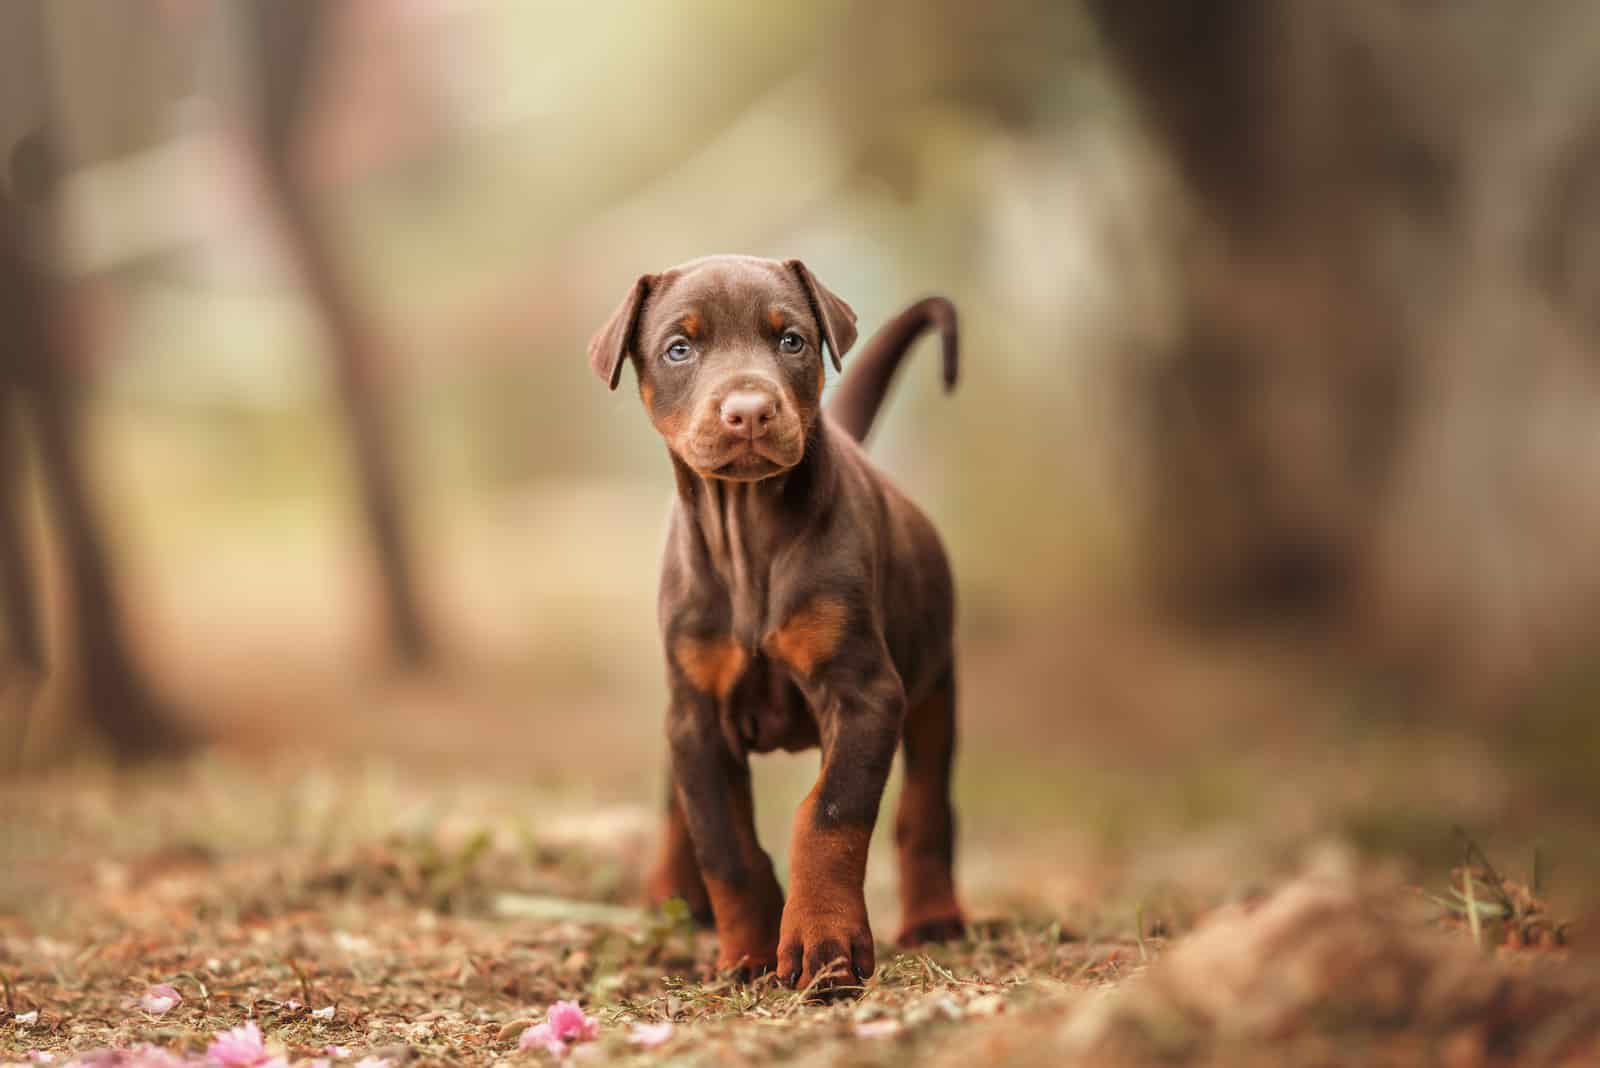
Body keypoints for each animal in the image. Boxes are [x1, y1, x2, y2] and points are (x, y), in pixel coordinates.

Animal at [592, 254, 953, 991]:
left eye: (791, 340)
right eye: (679, 348)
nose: (750, 410)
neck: (748, 530)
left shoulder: (867, 692)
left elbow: (831, 814)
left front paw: (824, 944)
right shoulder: (696, 715)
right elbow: (724, 843)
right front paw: (748, 953)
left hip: (936, 682)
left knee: (927, 806)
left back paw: (935, 916)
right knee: (678, 808)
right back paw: (673, 895)